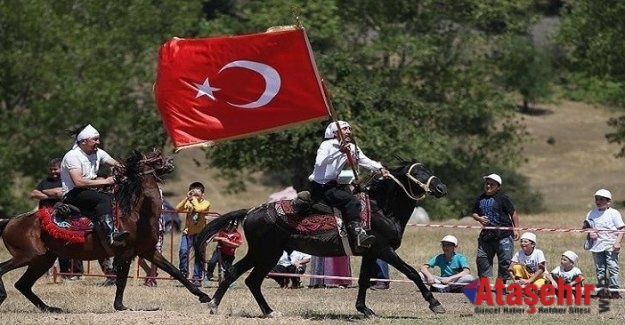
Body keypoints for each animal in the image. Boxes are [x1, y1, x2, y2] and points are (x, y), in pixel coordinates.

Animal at [0, 149, 210, 312]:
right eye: (154, 157)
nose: (171, 161)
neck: (134, 215)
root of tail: (11, 221)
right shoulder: (126, 253)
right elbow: (122, 280)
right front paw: (120, 306)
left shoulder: (148, 251)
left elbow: (175, 271)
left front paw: (203, 296)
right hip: (28, 255)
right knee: (4, 271)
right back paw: (4, 296)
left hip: (43, 259)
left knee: (23, 285)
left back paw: (49, 308)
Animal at [195, 161, 448, 318]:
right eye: (418, 173)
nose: (441, 187)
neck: (381, 209)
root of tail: (250, 211)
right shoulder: (383, 249)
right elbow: (412, 272)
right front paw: (435, 304)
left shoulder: (370, 252)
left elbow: (364, 280)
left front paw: (364, 309)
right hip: (267, 253)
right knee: (247, 278)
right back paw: (223, 305)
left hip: (262, 253)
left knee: (243, 277)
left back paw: (255, 309)